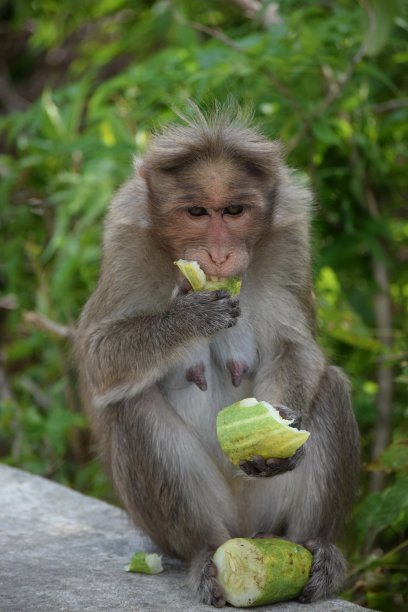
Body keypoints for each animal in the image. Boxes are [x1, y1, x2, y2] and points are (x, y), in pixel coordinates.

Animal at [76, 106, 360, 608]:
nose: (220, 254)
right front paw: (187, 317)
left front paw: (283, 422)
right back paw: (205, 557)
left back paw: (315, 551)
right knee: (132, 406)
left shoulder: (289, 233)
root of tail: (244, 529)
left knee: (332, 385)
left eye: (233, 211)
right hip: (191, 525)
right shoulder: (126, 236)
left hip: (268, 512)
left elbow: (295, 346)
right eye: (197, 212)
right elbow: (99, 357)